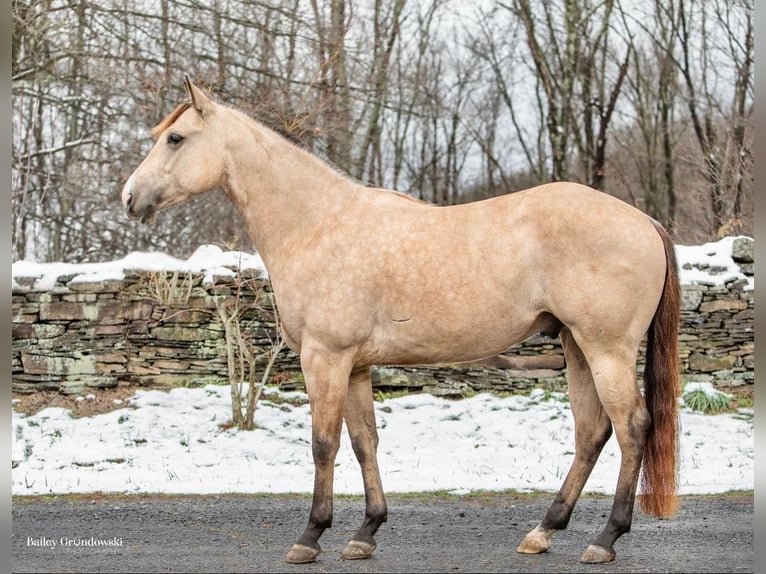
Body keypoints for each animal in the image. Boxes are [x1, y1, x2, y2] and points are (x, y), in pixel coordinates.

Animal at [121, 76, 684, 568]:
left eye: (175, 138)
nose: (130, 197)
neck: (318, 224)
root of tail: (644, 221)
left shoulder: (324, 358)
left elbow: (323, 444)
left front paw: (310, 536)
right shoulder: (354, 366)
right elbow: (363, 441)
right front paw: (365, 532)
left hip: (605, 348)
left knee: (631, 427)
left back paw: (605, 539)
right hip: (576, 346)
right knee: (592, 432)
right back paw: (543, 531)